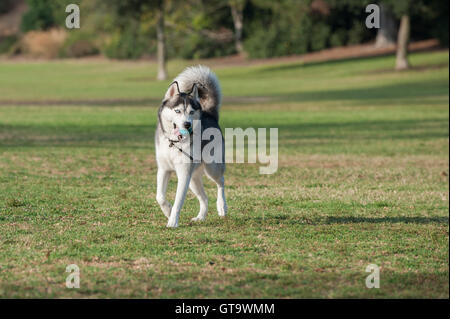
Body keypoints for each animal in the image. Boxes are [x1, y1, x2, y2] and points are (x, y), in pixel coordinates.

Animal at [155, 66, 227, 229]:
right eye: (177, 111)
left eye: (191, 112)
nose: (187, 124)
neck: (174, 143)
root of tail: (210, 114)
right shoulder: (164, 169)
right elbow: (160, 196)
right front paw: (168, 211)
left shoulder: (183, 175)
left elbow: (178, 202)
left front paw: (172, 221)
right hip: (193, 178)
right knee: (205, 198)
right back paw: (200, 217)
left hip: (211, 168)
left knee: (221, 182)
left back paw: (222, 206)